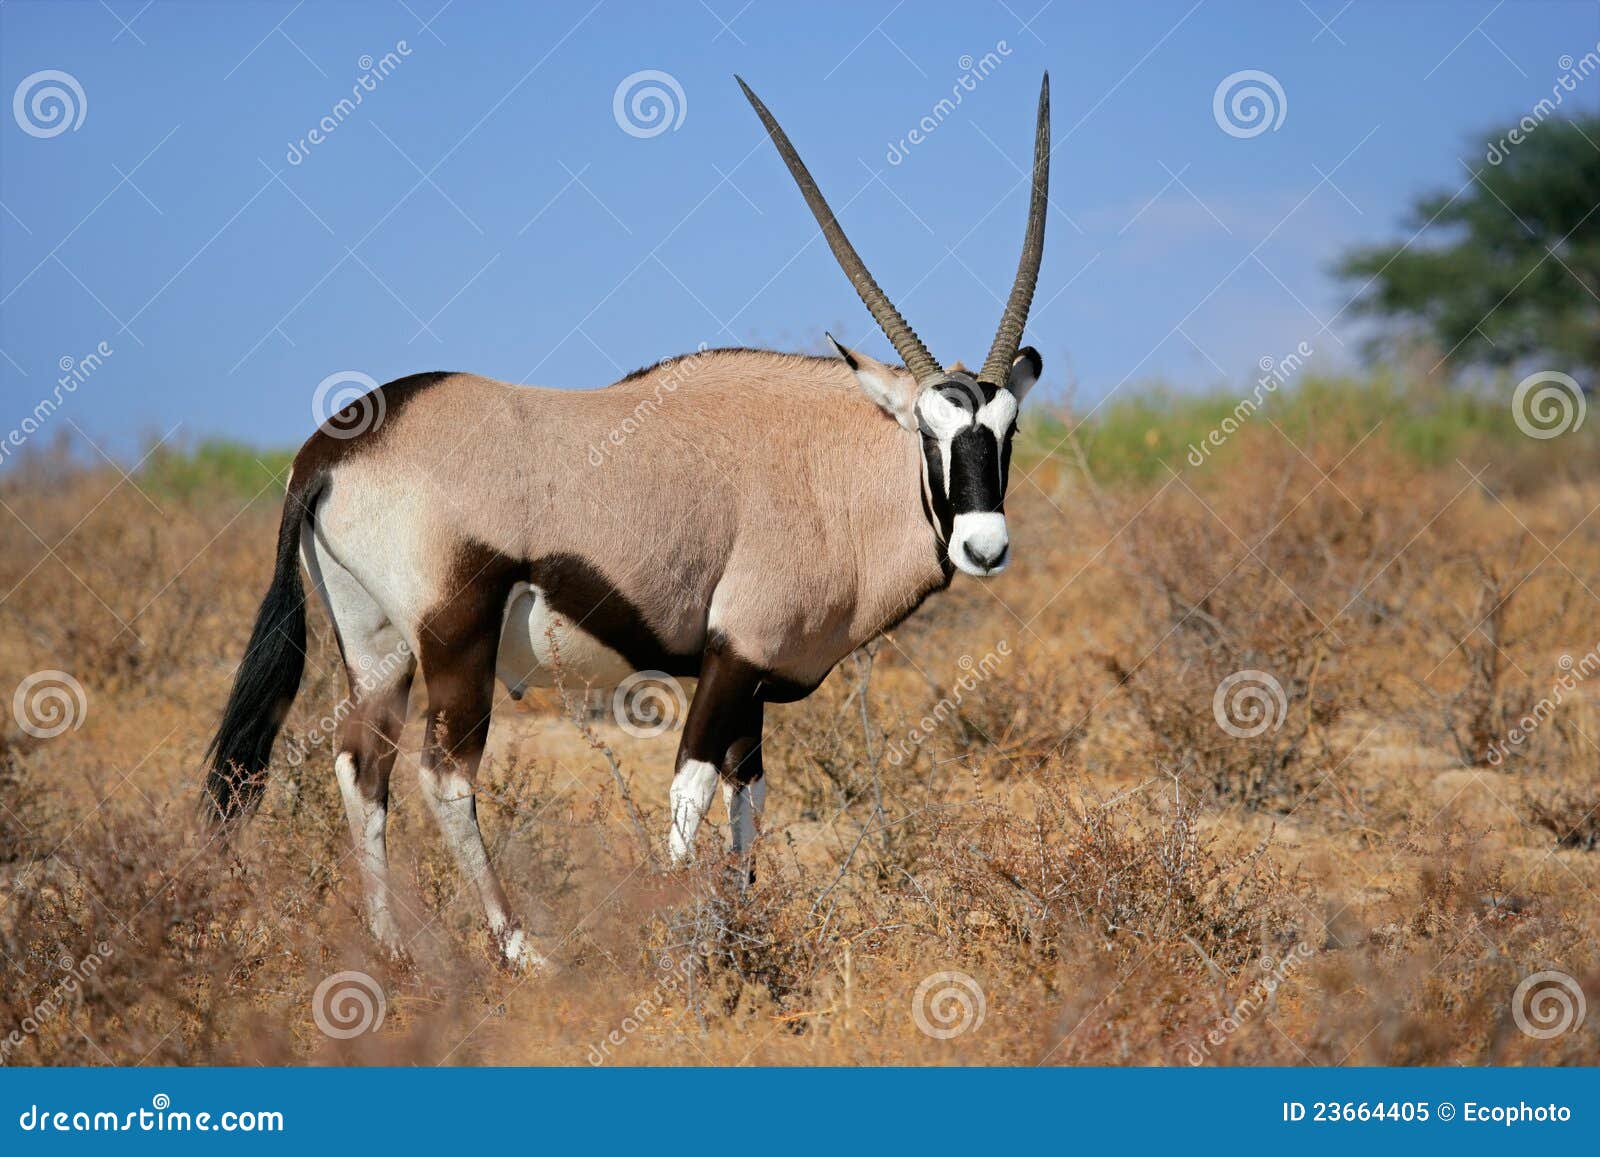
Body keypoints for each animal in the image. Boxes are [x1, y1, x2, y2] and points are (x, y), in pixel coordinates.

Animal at [205, 74, 1050, 968]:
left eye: (1006, 429)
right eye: (928, 429)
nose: (984, 543)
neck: (830, 464)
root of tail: (329, 449)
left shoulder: (755, 678)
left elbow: (748, 801)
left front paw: (738, 930)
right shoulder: (731, 658)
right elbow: (691, 791)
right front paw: (674, 946)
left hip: (375, 646)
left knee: (361, 764)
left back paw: (391, 949)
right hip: (456, 637)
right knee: (443, 772)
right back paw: (522, 950)